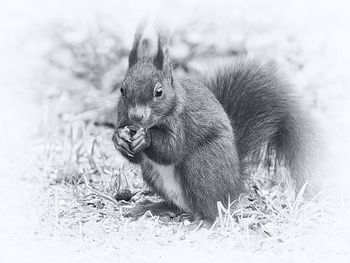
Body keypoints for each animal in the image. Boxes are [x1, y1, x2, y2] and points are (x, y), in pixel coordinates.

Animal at [112, 29, 318, 223]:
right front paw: (119, 138)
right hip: (153, 174)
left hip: (203, 165)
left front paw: (146, 137)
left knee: (212, 207)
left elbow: (172, 149)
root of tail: (234, 184)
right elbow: (137, 157)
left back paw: (204, 221)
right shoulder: (123, 117)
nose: (136, 116)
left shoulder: (182, 121)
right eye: (122, 89)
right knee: (176, 205)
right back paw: (152, 207)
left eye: (159, 92)